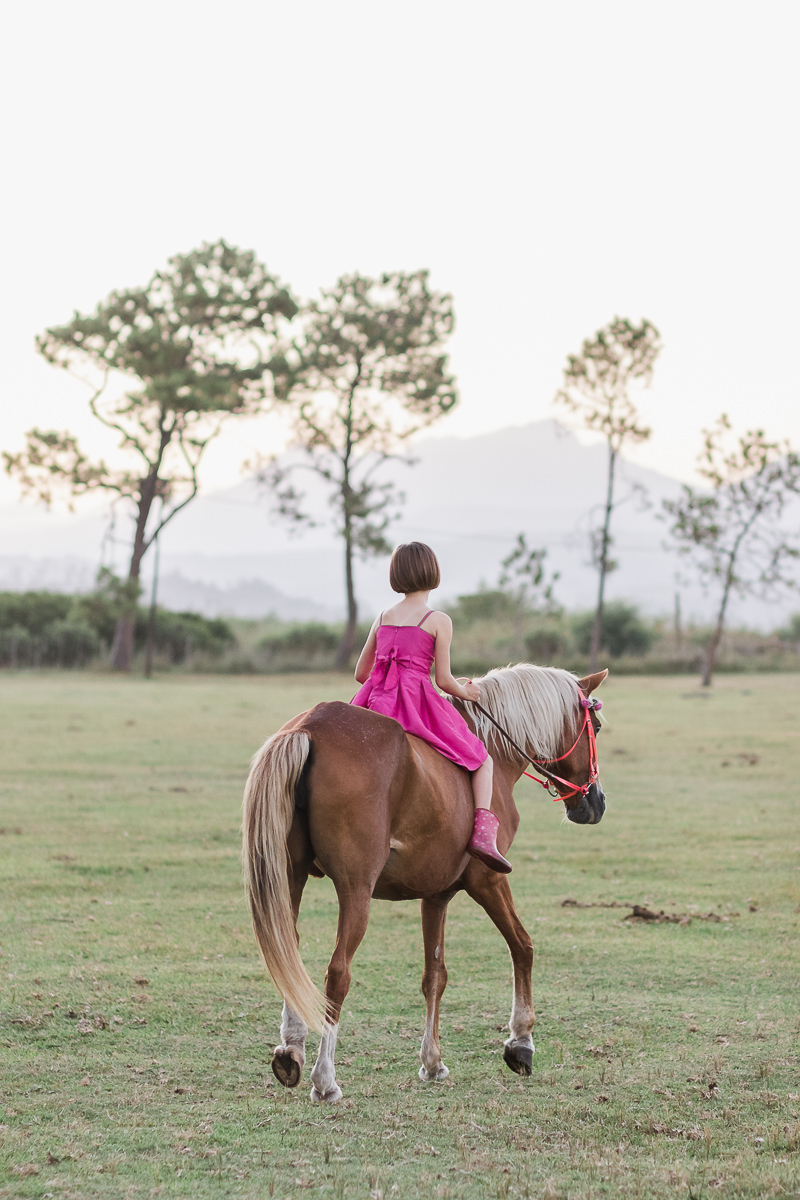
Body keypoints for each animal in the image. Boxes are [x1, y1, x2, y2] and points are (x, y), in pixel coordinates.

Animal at [241, 663, 607, 1103]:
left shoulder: (435, 895)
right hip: (356, 890)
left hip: (290, 876)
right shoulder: (488, 881)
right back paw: (324, 1079)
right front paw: (520, 1043)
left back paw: (290, 1050)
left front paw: (432, 1061)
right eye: (596, 727)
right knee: (337, 972)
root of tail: (310, 727)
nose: (597, 802)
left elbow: (435, 975)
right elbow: (523, 947)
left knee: (289, 951)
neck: (493, 749)